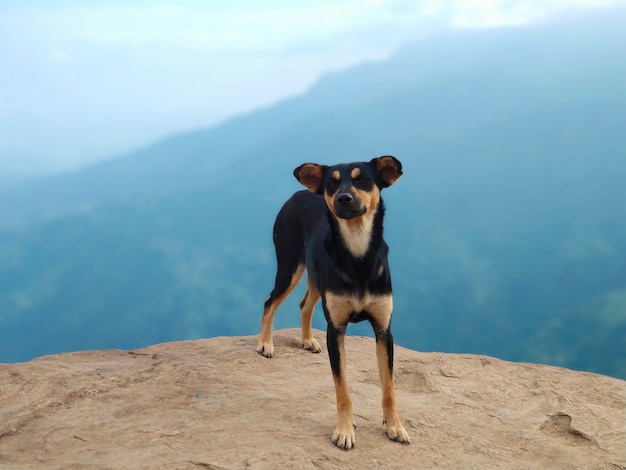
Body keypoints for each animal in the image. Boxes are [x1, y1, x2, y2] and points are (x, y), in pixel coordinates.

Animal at [255, 154, 410, 448]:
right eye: (331, 184)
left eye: (363, 180)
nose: (344, 198)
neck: (358, 254)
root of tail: (299, 193)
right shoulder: (335, 329)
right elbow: (342, 388)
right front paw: (345, 431)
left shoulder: (384, 330)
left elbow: (389, 387)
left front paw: (395, 426)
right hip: (290, 265)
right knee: (270, 302)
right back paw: (266, 343)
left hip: (316, 277)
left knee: (305, 304)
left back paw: (307, 339)